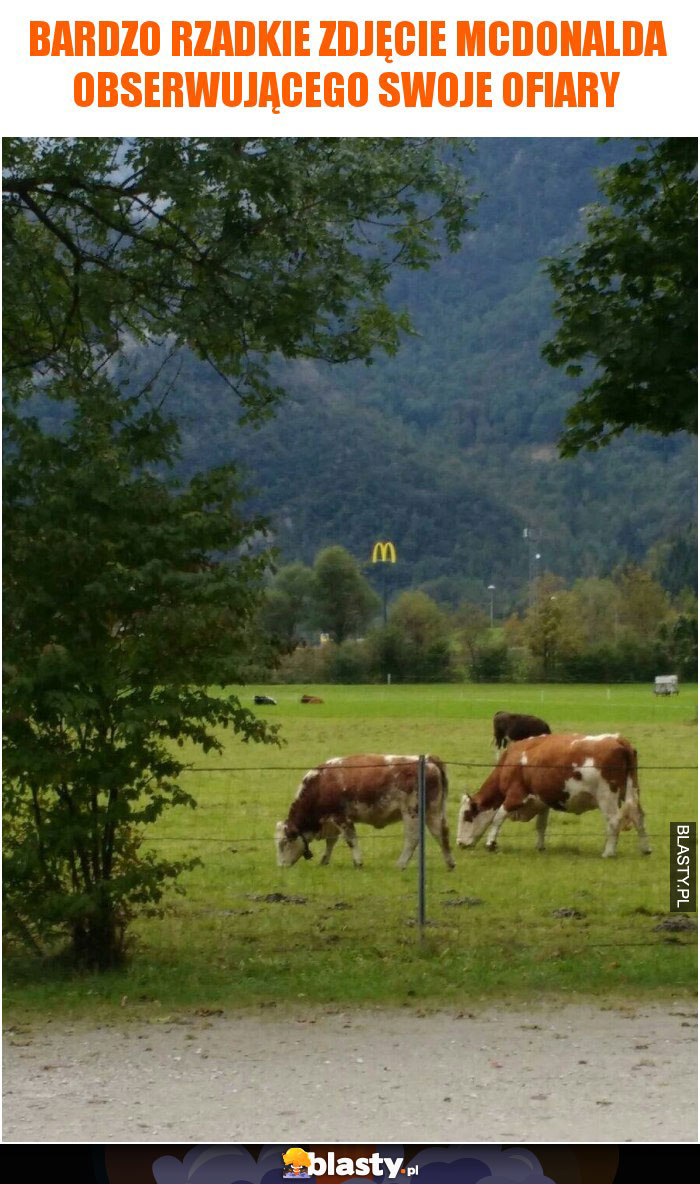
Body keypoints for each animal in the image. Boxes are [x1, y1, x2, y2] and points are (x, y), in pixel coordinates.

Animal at [273, 757, 454, 871]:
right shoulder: (331, 821)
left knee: (413, 838)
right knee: (441, 833)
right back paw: (450, 863)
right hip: (433, 812)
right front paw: (324, 861)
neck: (321, 783)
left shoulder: (342, 818)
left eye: (283, 843)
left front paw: (358, 862)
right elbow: (331, 842)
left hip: (412, 812)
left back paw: (400, 864)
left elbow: (351, 840)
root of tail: (429, 760)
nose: (281, 866)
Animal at [457, 729, 653, 861]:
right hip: (631, 790)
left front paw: (490, 844)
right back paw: (645, 849)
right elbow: (541, 825)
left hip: (606, 796)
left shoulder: (514, 796)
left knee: (613, 821)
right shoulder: (542, 801)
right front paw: (540, 846)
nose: (459, 843)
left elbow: (497, 818)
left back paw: (608, 852)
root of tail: (618, 739)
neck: (511, 761)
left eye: (467, 816)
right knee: (638, 816)